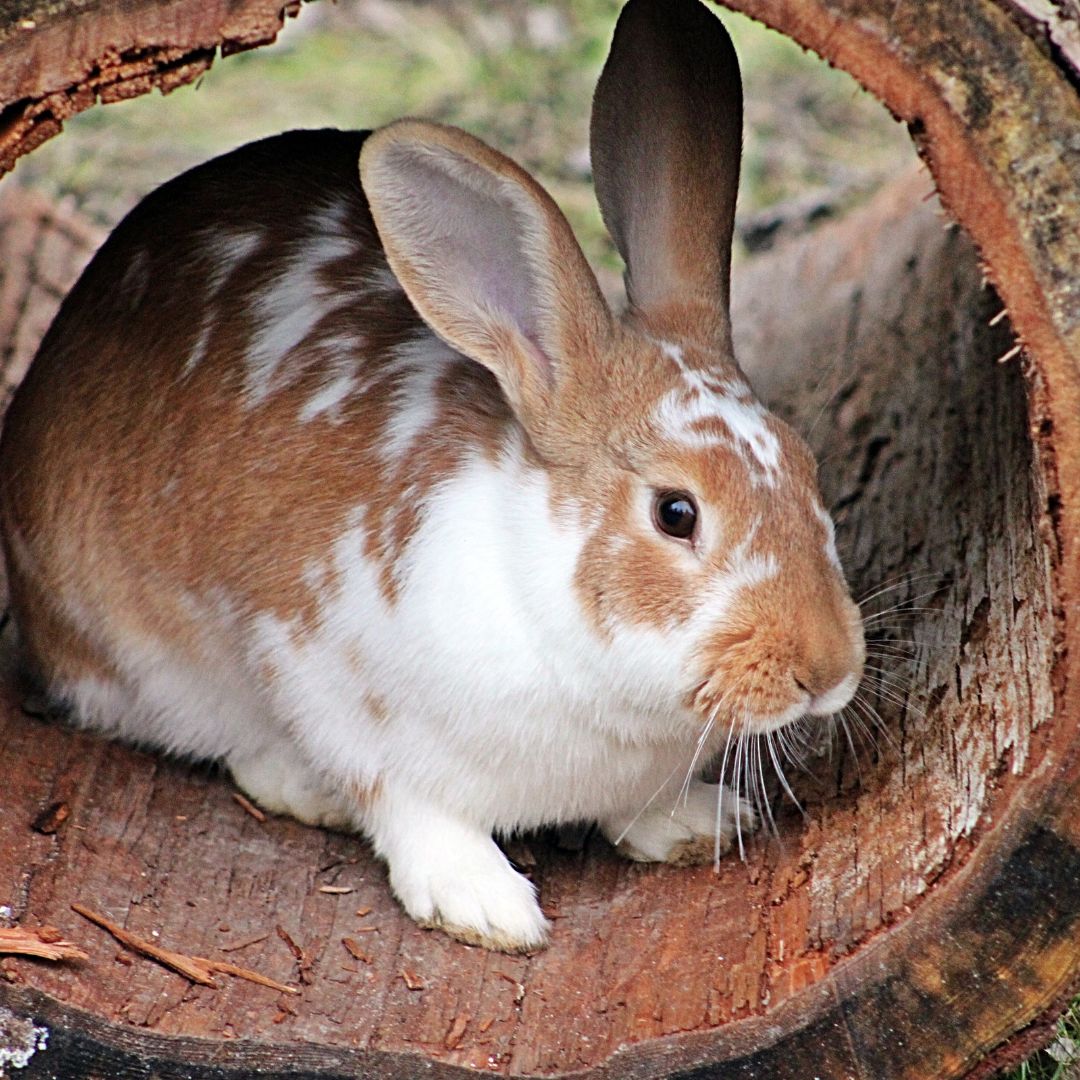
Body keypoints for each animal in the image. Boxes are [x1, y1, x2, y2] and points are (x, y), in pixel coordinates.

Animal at [0, 0, 859, 954]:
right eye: (676, 512)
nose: (828, 669)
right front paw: (487, 908)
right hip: (144, 657)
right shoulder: (341, 696)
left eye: (806, 465)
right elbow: (412, 809)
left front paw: (695, 823)